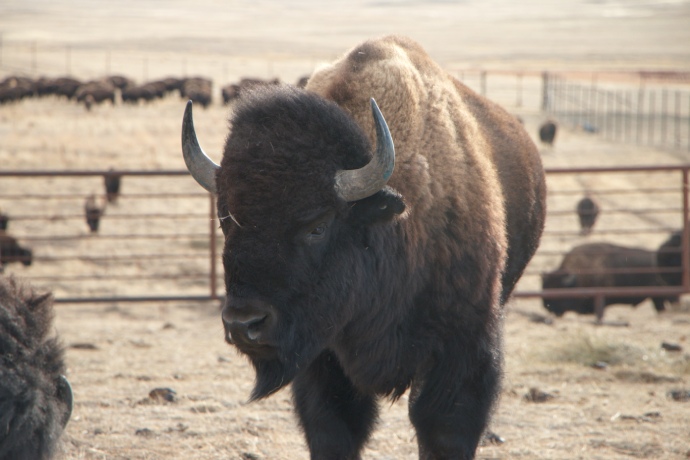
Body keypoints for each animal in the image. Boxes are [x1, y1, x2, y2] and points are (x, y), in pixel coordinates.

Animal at [180, 36, 544, 460]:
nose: (244, 324)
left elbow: (442, 427)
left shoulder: (464, 348)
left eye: (318, 225)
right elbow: (334, 429)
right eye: (226, 219)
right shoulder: (323, 359)